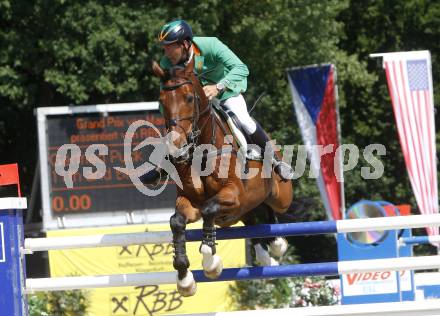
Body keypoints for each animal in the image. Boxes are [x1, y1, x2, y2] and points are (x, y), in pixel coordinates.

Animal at [151, 58, 292, 296]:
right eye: (162, 102)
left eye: (189, 98)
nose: (176, 145)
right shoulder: (191, 203)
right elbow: (176, 222)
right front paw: (185, 279)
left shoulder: (233, 195)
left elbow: (209, 210)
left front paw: (211, 262)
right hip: (240, 212)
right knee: (252, 221)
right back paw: (266, 257)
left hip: (280, 198)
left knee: (270, 209)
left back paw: (277, 243)